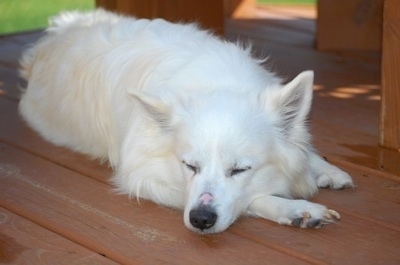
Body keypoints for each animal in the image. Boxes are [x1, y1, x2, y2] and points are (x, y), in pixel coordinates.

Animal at [18, 8, 354, 233]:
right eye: (189, 166)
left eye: (240, 169)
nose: (201, 219)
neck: (220, 83)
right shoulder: (142, 176)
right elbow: (250, 199)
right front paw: (295, 207)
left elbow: (302, 149)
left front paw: (324, 169)